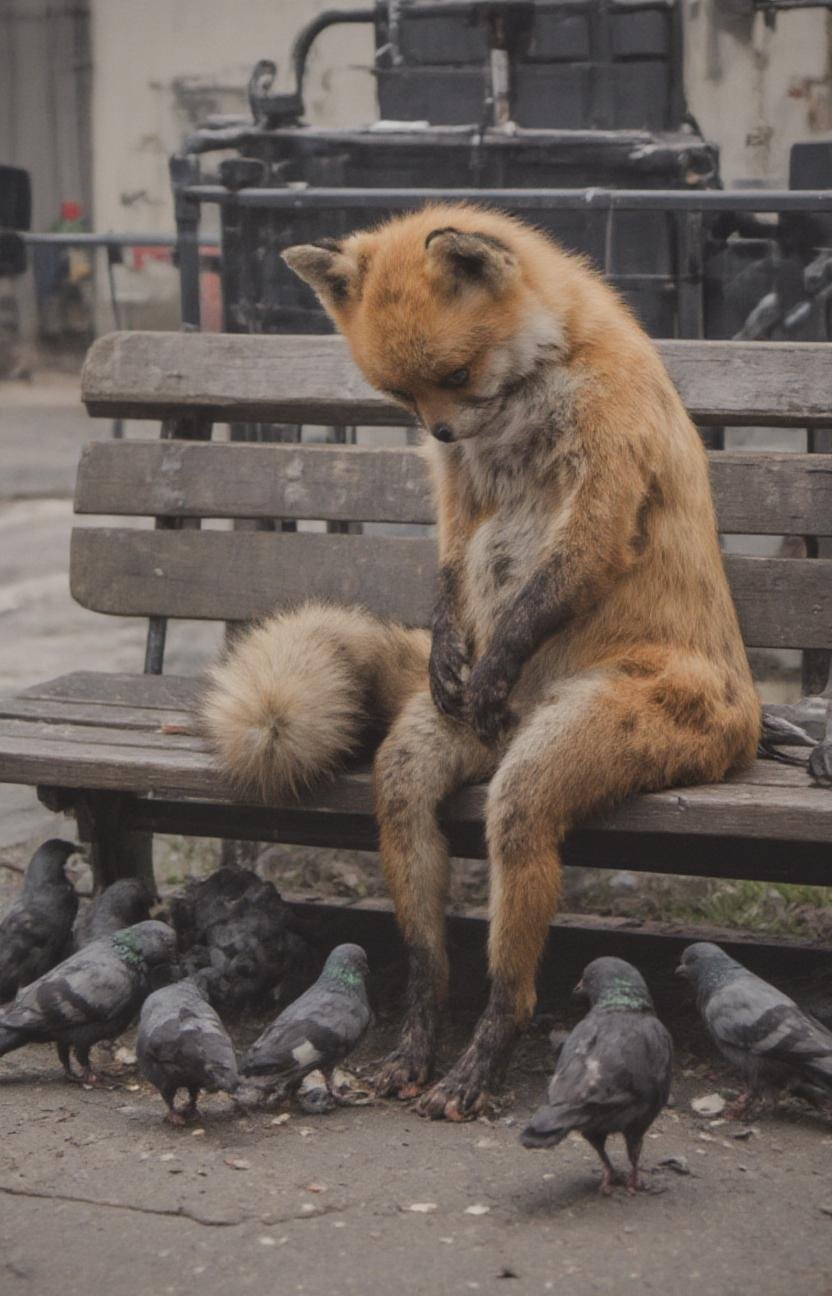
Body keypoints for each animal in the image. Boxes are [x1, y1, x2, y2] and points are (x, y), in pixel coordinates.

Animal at [200, 204, 756, 1124]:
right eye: (400, 395)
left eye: (457, 374)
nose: (439, 431)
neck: (534, 391)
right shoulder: (460, 495)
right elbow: (452, 574)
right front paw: (454, 652)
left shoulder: (604, 485)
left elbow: (552, 583)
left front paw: (493, 663)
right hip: (420, 763)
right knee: (428, 932)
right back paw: (418, 1045)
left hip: (543, 775)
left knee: (513, 963)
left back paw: (479, 1064)